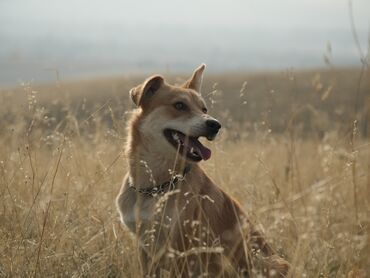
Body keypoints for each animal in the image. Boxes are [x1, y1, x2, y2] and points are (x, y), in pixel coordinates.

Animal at [115, 64, 290, 276]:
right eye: (179, 105)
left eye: (204, 108)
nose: (215, 125)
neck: (155, 187)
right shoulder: (145, 247)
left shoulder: (182, 249)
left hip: (269, 262)